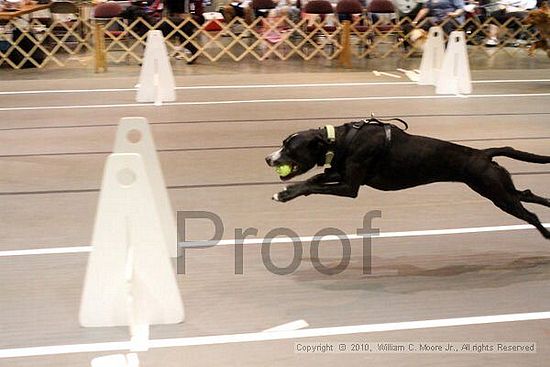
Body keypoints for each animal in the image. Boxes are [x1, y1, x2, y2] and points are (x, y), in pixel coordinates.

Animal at [266, 117, 550, 239]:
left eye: (290, 149)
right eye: (283, 143)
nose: (269, 159)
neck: (340, 140)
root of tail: (483, 153)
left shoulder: (349, 186)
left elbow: (310, 186)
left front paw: (284, 194)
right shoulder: (337, 174)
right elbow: (312, 181)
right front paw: (286, 192)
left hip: (498, 194)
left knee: (530, 214)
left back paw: (545, 234)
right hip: (499, 187)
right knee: (527, 194)